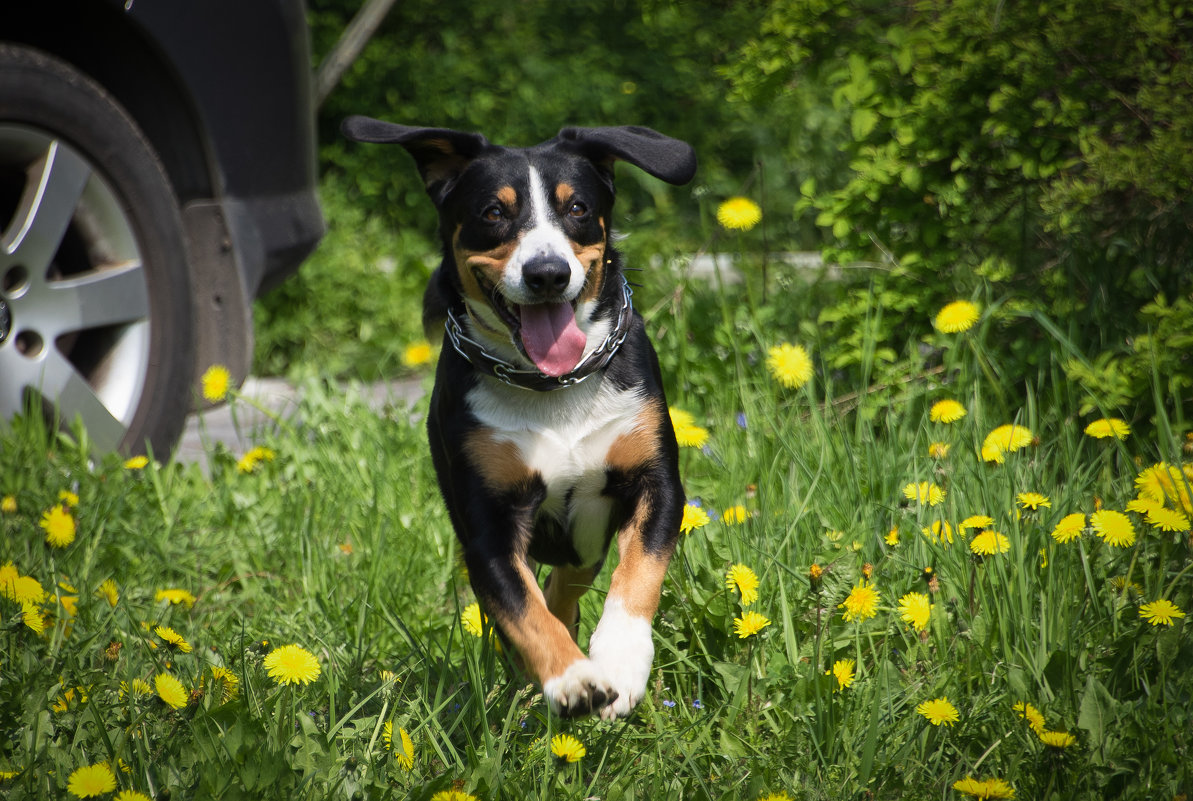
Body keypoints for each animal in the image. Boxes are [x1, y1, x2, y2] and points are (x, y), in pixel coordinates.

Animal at [341, 117, 696, 721]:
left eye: (577, 207)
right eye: (492, 212)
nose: (547, 273)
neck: (553, 387)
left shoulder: (656, 481)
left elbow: (638, 575)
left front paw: (620, 662)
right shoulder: (487, 526)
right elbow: (522, 610)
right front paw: (570, 677)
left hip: (588, 538)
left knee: (569, 581)